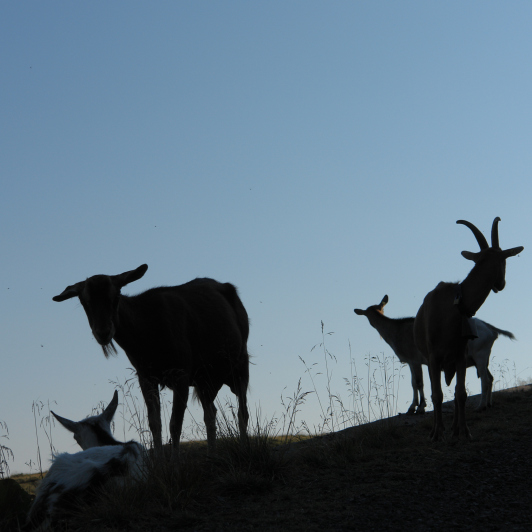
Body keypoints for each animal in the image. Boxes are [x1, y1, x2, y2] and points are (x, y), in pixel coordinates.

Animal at [53, 266, 250, 454]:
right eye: (84, 301)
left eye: (115, 296)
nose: (103, 332)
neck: (147, 338)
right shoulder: (145, 376)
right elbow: (155, 424)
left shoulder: (181, 372)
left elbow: (175, 424)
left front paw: (175, 461)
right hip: (205, 381)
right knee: (211, 413)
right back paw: (212, 454)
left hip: (240, 364)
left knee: (242, 412)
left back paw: (243, 448)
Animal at [356, 296, 512, 416]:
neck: (396, 332)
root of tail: (492, 330)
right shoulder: (412, 362)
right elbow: (413, 383)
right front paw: (413, 408)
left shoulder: (415, 359)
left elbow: (418, 382)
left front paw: (419, 408)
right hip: (482, 357)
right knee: (490, 377)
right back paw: (489, 404)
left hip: (480, 354)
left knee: (485, 380)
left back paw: (481, 406)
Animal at [414, 218, 520, 442]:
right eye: (504, 261)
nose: (501, 284)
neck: (453, 307)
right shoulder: (433, 357)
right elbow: (437, 395)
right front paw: (437, 433)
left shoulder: (460, 355)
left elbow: (461, 394)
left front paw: (464, 431)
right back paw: (440, 428)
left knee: (458, 392)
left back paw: (455, 428)